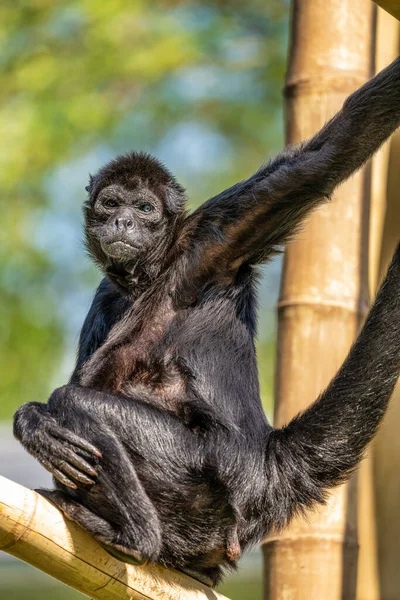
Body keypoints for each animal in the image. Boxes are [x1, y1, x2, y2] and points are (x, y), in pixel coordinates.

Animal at [14, 57, 400, 584]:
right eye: (111, 204)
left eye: (144, 209)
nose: (123, 223)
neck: (155, 271)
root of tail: (266, 465)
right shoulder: (107, 293)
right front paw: (31, 424)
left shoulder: (211, 237)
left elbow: (330, 154)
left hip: (205, 478)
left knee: (74, 401)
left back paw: (137, 538)